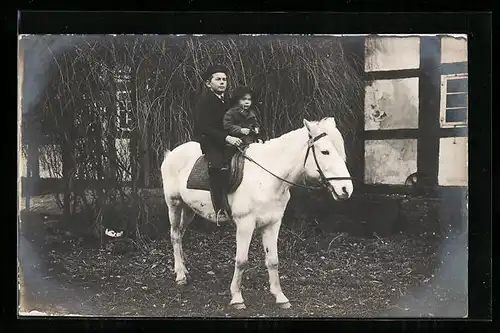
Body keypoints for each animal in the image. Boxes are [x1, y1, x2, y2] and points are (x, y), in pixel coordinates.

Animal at [159, 116, 352, 308]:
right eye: (325, 152)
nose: (346, 189)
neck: (267, 178)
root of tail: (171, 153)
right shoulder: (245, 224)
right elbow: (241, 260)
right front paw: (237, 297)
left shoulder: (273, 223)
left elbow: (273, 260)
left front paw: (280, 296)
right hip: (174, 204)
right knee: (175, 235)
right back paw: (180, 275)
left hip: (188, 209)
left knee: (180, 234)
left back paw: (184, 269)